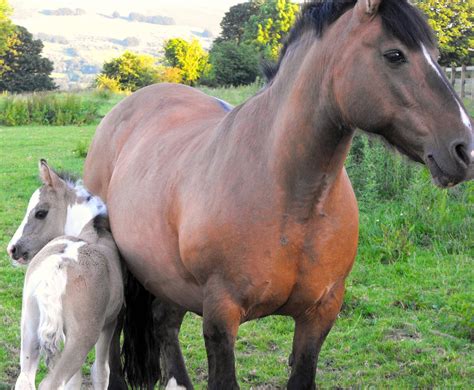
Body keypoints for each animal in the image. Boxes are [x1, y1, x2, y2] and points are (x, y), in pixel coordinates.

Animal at [7, 160, 123, 388]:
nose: (12, 249)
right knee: (52, 382)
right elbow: (100, 371)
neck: (92, 232)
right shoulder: (110, 323)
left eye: (40, 212)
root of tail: (58, 266)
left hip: (30, 326)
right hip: (82, 338)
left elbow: (75, 380)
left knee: (25, 379)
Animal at [84, 1, 470, 388]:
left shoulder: (320, 313)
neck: (293, 199)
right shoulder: (221, 315)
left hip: (166, 277)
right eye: (394, 55)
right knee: (113, 338)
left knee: (165, 323)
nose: (464, 149)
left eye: (436, 56)